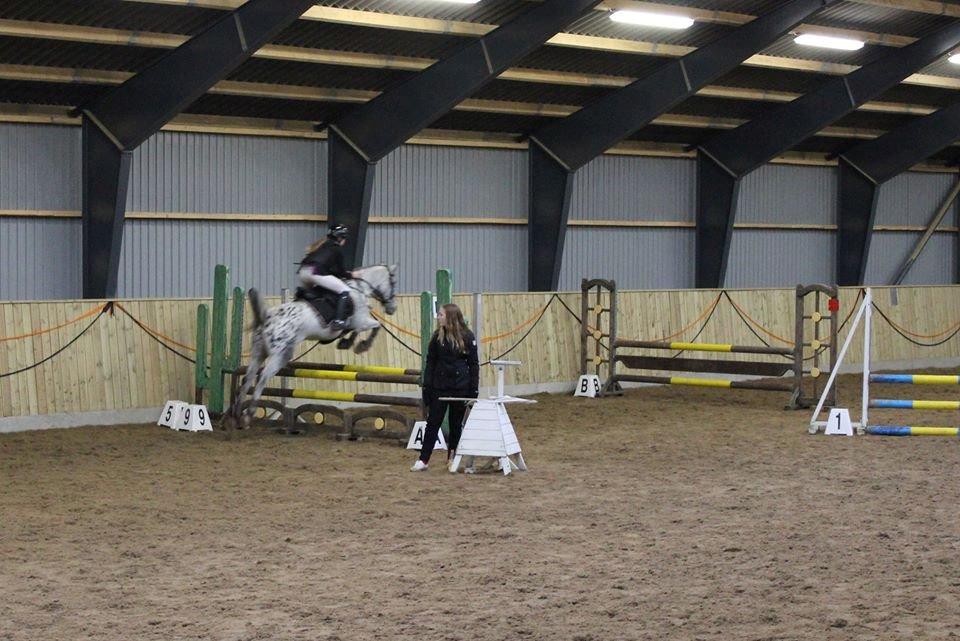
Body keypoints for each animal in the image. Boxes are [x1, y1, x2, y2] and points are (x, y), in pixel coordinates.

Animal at [225, 264, 398, 427]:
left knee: (247, 378)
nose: (392, 308)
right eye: (393, 282)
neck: (359, 288)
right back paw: (249, 414)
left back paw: (236, 416)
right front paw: (362, 345)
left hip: (258, 352)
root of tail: (266, 318)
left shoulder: (353, 324)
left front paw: (346, 343)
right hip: (281, 354)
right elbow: (376, 326)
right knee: (262, 377)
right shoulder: (361, 321)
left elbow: (355, 331)